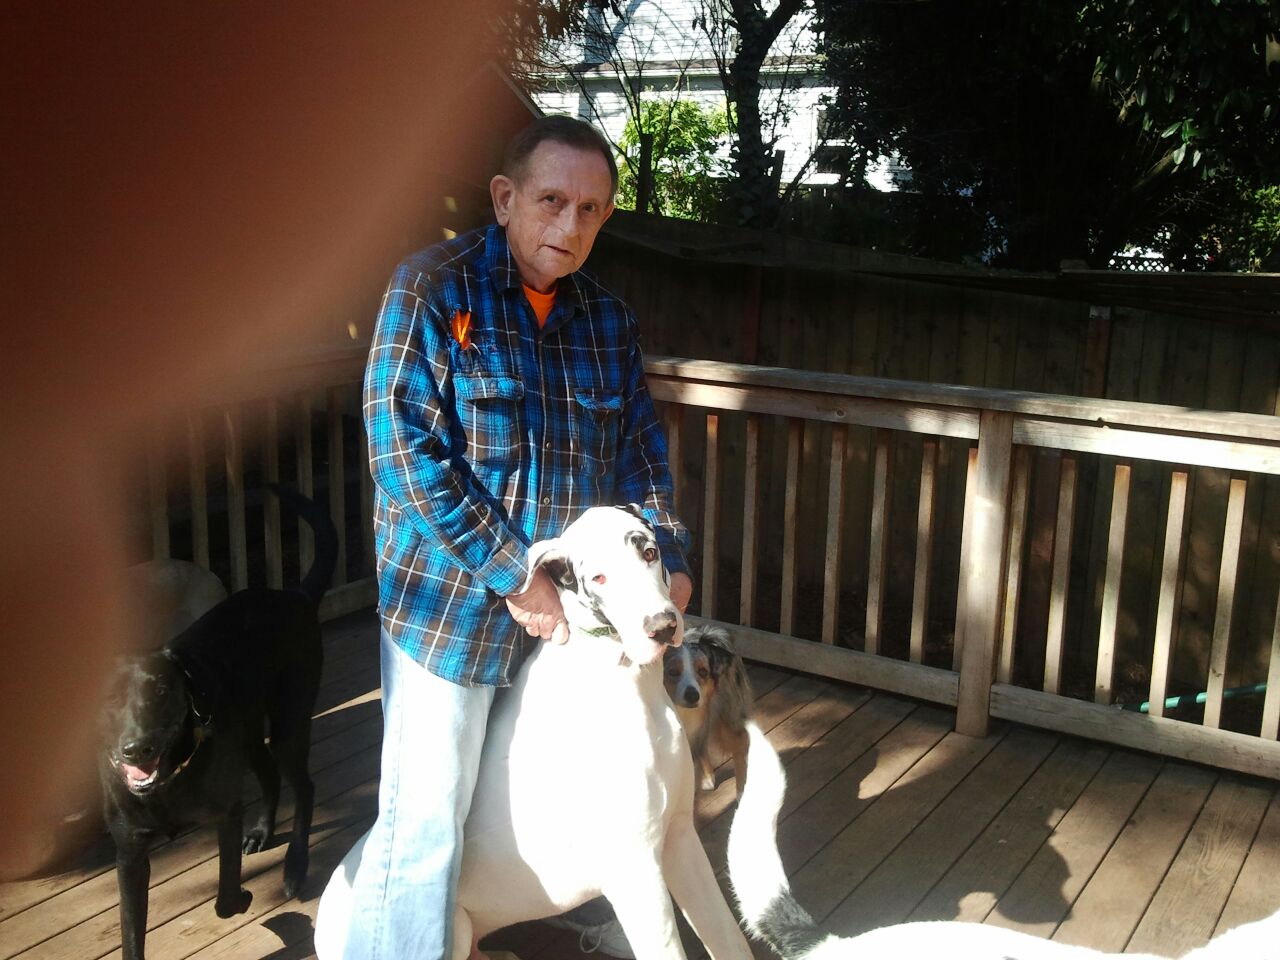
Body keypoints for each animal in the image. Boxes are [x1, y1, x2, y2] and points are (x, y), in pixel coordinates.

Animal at [99, 484, 336, 960]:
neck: (167, 781)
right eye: (109, 698)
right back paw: (262, 832)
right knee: (270, 777)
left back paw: (294, 867)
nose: (137, 747)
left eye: (160, 690)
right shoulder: (130, 855)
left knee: (303, 787)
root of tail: (296, 596)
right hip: (250, 733)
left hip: (289, 721)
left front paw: (247, 897)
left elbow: (225, 899)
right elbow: (131, 935)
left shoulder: (226, 814)